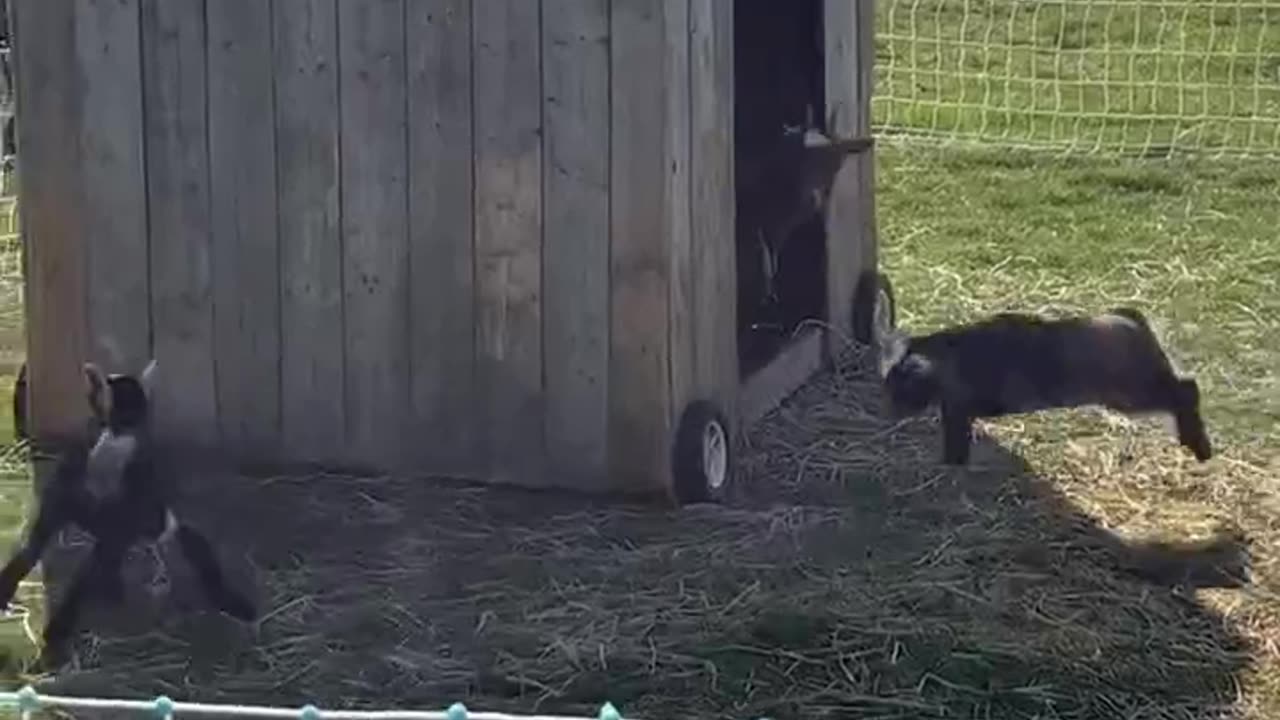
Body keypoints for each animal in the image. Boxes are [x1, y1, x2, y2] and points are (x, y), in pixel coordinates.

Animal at [0, 356, 257, 661]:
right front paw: (5, 590)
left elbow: (84, 574)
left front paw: (58, 630)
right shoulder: (61, 504)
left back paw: (233, 602)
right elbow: (31, 548)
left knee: (197, 552)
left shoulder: (122, 521)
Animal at [875, 307, 1213, 466]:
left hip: (1132, 391)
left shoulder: (958, 408)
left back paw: (1200, 448)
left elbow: (955, 447)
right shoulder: (955, 411)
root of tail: (1131, 318)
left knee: (1187, 389)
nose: (886, 410)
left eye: (899, 386)